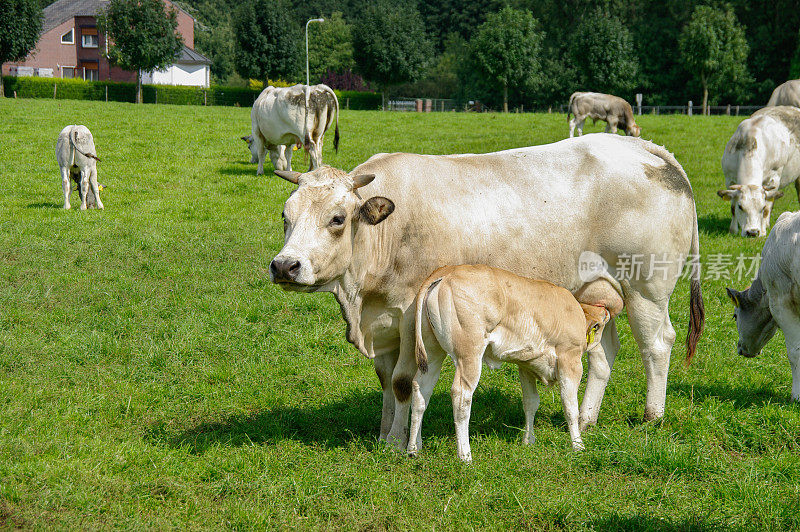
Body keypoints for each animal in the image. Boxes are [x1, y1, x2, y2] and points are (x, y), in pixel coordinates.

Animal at [270, 135, 708, 442]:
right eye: (285, 216)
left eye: (337, 218)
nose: (285, 266)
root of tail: (644, 147)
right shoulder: (384, 325)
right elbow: (385, 383)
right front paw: (383, 434)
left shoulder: (410, 317)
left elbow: (402, 382)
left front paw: (394, 441)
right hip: (597, 290)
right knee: (604, 354)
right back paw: (586, 418)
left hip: (646, 288)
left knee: (657, 345)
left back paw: (653, 417)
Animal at [404, 266, 616, 462]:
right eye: (600, 324)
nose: (607, 311)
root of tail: (447, 271)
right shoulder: (569, 360)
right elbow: (570, 406)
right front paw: (578, 445)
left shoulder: (526, 365)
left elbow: (530, 403)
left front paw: (528, 441)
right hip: (469, 353)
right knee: (461, 395)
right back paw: (465, 455)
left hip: (432, 352)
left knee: (421, 391)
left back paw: (414, 448)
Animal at [716, 106, 800, 235]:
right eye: (741, 207)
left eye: (762, 207)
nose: (752, 232)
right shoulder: (729, 179)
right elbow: (732, 207)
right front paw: (733, 230)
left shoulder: (774, 178)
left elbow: (768, 206)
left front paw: (763, 230)